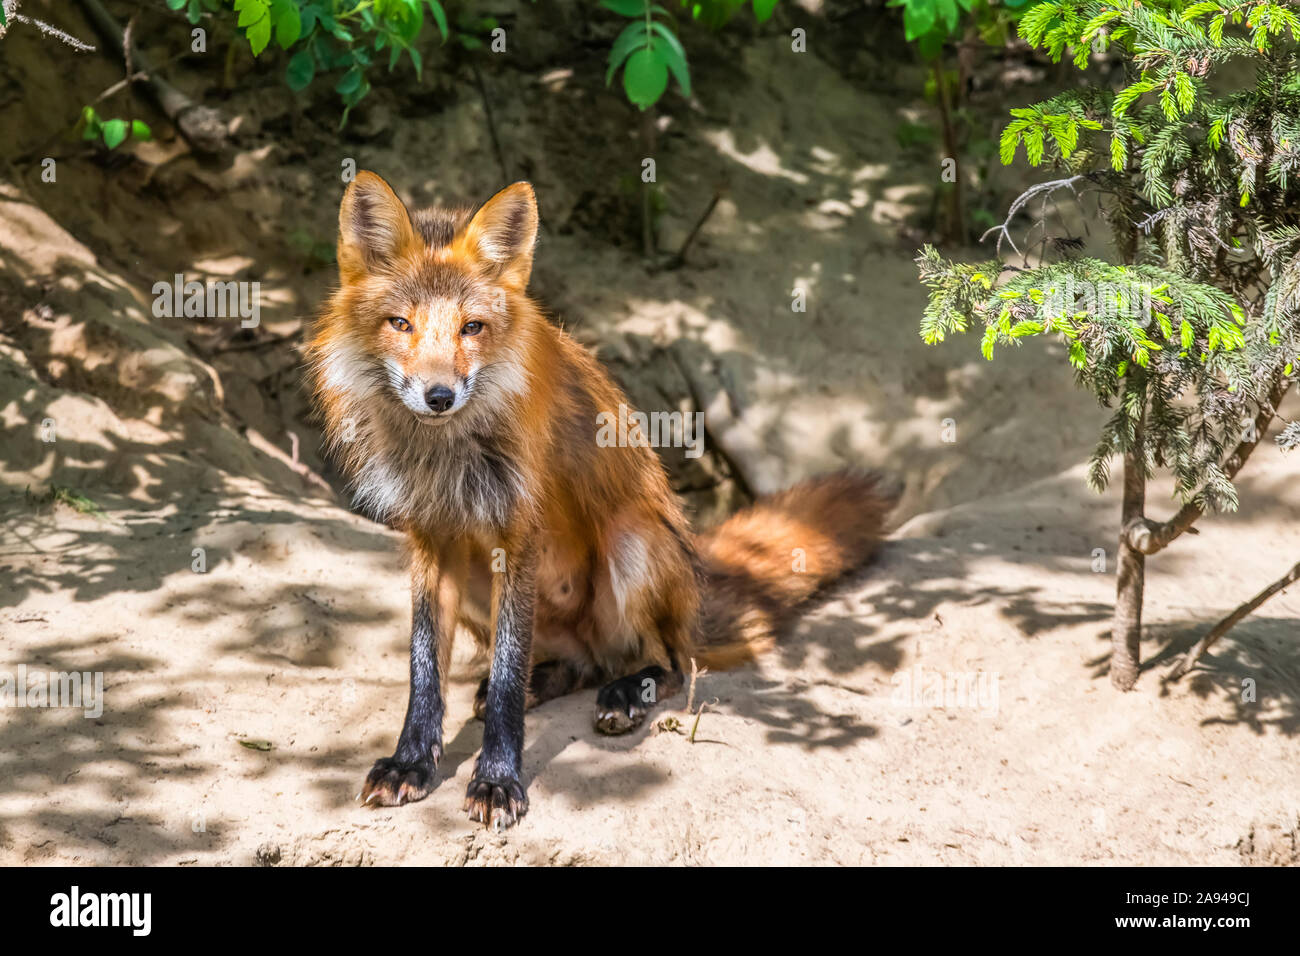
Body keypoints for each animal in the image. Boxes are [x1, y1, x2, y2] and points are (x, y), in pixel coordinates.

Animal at [306, 171, 894, 832]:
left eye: (471, 328)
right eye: (400, 324)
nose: (439, 395)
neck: (445, 457)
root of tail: (695, 597)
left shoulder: (519, 534)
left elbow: (507, 674)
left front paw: (498, 779)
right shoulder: (432, 538)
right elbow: (424, 667)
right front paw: (411, 762)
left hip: (632, 545)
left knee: (671, 662)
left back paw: (629, 692)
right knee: (577, 664)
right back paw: (549, 680)